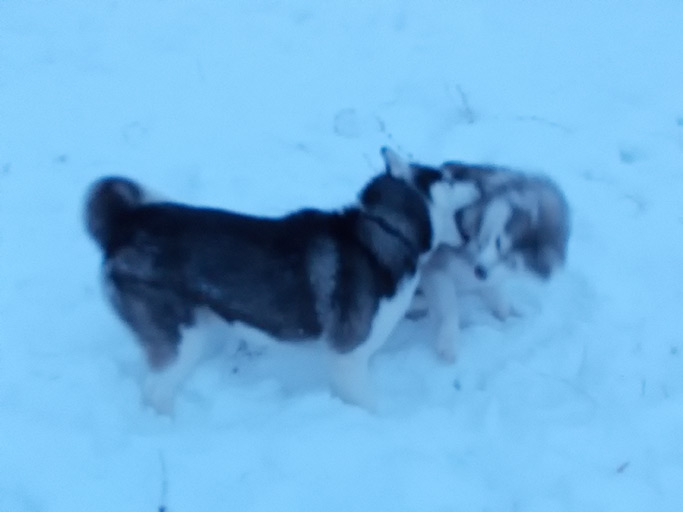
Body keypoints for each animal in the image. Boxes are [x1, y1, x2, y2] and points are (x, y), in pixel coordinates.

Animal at [84, 148, 479, 413]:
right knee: (155, 391)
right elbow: (373, 406)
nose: (473, 178)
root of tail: (126, 224)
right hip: (182, 338)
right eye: (446, 178)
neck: (386, 229)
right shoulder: (347, 357)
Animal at [413, 161, 570, 362]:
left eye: (513, 263)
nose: (479, 271)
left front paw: (509, 314)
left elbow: (500, 300)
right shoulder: (435, 268)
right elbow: (450, 308)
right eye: (498, 242)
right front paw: (449, 341)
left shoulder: (489, 277)